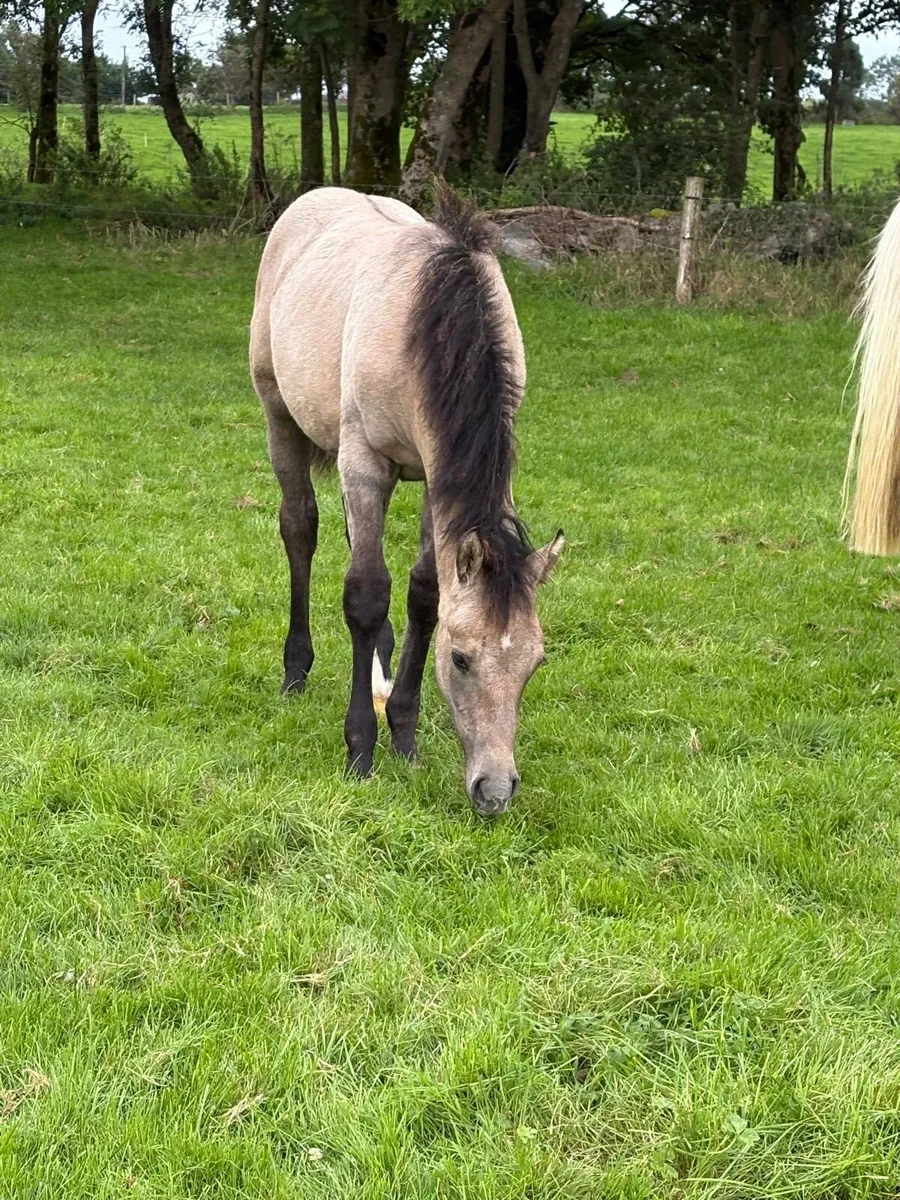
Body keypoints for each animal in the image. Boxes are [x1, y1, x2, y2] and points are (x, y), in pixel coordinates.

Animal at [249, 186, 563, 816]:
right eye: (461, 658)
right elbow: (366, 594)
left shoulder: (433, 479)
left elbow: (424, 595)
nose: (495, 790)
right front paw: (360, 751)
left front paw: (404, 734)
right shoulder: (365, 464)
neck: (432, 325)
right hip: (279, 418)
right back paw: (295, 671)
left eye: (536, 662)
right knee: (300, 528)